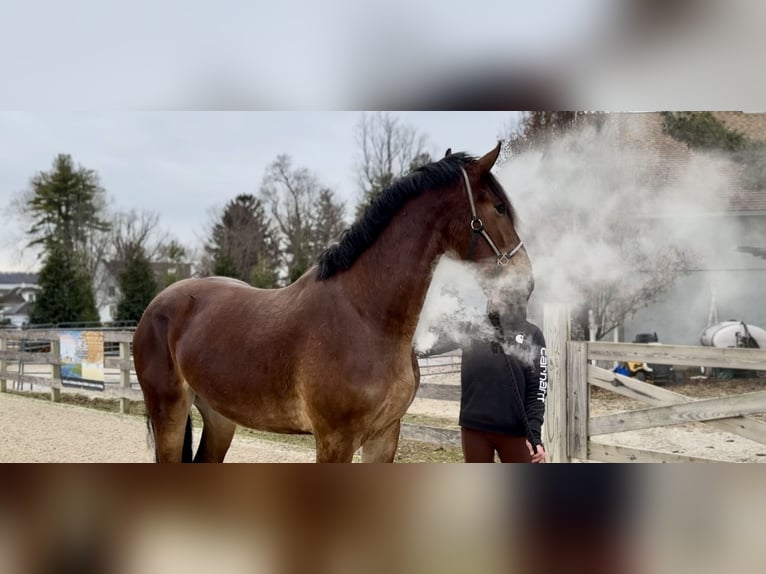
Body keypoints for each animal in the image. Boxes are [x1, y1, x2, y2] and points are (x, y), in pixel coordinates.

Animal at [133, 142, 533, 462]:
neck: (366, 316)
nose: (526, 282)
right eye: (499, 207)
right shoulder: (335, 440)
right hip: (169, 412)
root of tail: (157, 306)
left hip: (219, 417)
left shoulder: (385, 436)